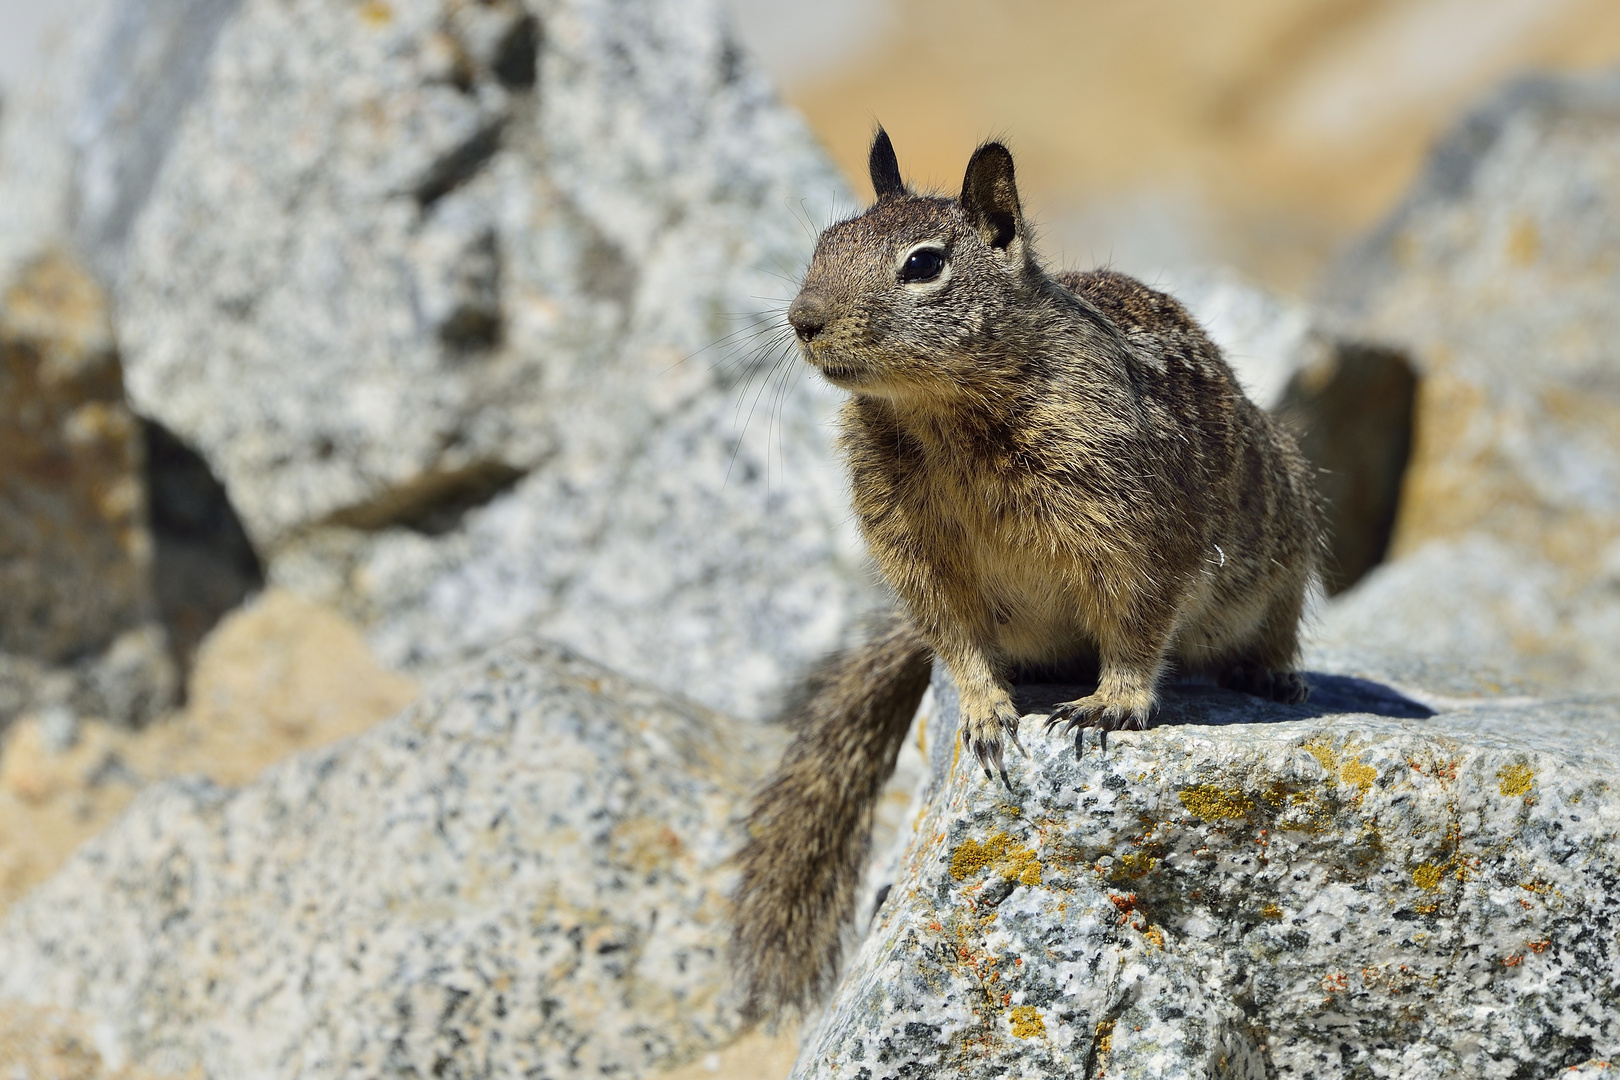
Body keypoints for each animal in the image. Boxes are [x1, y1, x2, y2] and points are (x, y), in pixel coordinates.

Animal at [735, 131, 1328, 1016]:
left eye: (923, 264)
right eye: (824, 244)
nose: (803, 320)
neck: (944, 412)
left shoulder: (1135, 534)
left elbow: (1137, 627)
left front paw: (1108, 706)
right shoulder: (916, 558)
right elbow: (957, 643)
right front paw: (986, 715)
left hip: (1285, 535)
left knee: (1279, 619)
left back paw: (1274, 675)